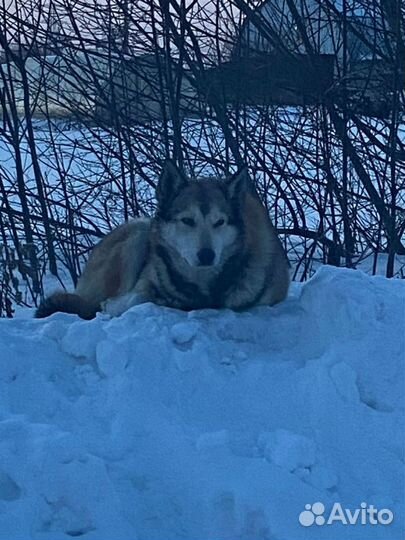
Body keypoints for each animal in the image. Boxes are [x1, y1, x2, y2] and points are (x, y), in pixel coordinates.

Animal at [34, 160, 288, 320]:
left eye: (220, 222)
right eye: (187, 220)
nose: (207, 255)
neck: (204, 287)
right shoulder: (143, 283)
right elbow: (131, 299)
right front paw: (114, 307)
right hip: (139, 232)